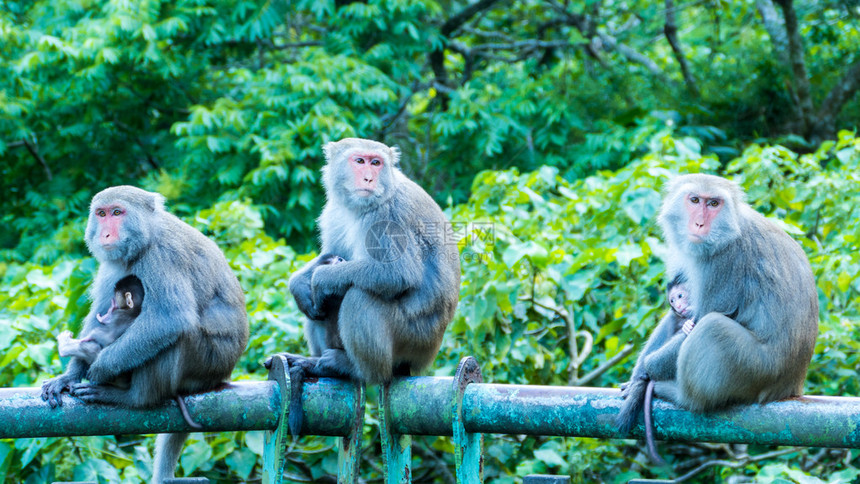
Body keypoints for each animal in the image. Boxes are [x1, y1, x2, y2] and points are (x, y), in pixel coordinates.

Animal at [56, 274, 201, 430]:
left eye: (115, 302)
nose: (110, 307)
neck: (133, 311)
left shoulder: (116, 316)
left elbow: (100, 335)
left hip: (117, 378)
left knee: (93, 348)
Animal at [268, 137, 460, 434]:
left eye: (376, 162)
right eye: (359, 161)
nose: (369, 178)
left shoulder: (387, 217)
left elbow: (397, 274)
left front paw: (320, 278)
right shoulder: (334, 213)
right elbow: (330, 254)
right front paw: (299, 283)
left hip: (415, 339)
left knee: (361, 296)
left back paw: (353, 369)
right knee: (320, 307)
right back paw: (315, 361)